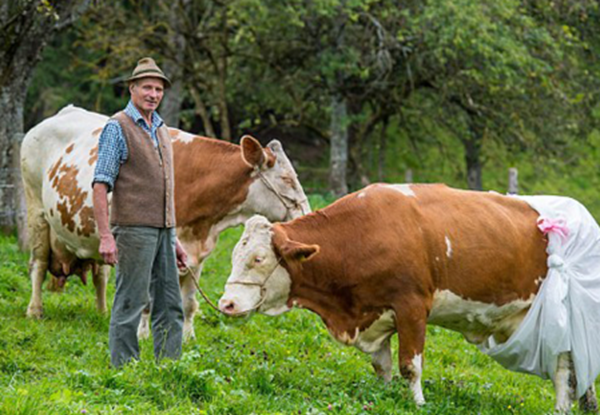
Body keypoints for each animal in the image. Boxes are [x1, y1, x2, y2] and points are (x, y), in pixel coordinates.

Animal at [19, 105, 310, 342]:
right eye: (286, 179)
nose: (306, 213)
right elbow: (148, 300)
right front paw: (143, 335)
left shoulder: (196, 255)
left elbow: (189, 301)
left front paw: (187, 337)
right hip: (36, 212)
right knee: (38, 264)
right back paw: (35, 310)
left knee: (100, 275)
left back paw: (102, 313)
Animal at [219, 184, 600, 412]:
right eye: (235, 255)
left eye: (259, 259)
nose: (227, 303)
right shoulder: (374, 313)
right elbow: (382, 365)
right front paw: (384, 395)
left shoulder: (412, 306)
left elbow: (410, 365)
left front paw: (417, 403)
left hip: (558, 319)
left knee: (562, 368)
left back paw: (561, 408)